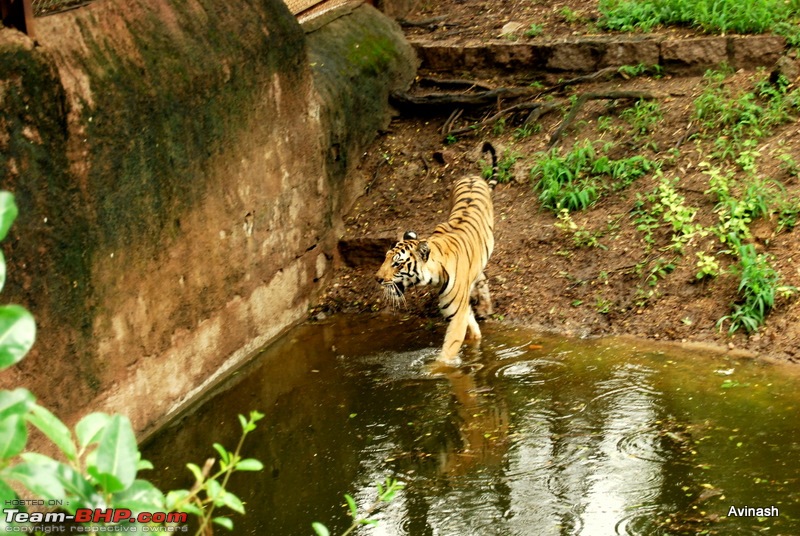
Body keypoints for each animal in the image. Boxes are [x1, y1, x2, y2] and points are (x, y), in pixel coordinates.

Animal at [376, 143, 494, 364]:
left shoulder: (456, 316)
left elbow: (445, 357)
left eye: (397, 264)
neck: (435, 277)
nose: (377, 279)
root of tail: (472, 175)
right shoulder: (461, 312)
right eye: (385, 258)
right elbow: (472, 328)